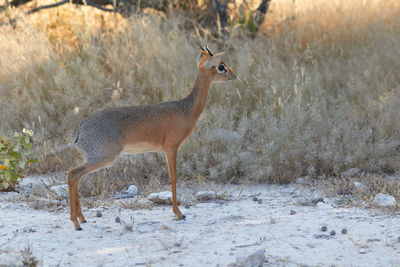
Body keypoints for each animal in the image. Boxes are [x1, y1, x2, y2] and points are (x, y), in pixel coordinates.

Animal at [67, 46, 236, 230]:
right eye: (221, 67)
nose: (234, 76)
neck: (186, 109)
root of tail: (80, 131)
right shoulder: (171, 148)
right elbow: (173, 178)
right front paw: (179, 214)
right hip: (104, 158)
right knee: (72, 174)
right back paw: (76, 223)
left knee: (76, 177)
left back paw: (81, 219)